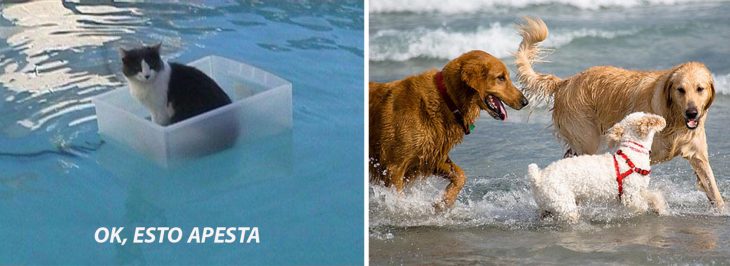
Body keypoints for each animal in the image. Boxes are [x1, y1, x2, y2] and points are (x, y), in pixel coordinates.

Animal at [366, 50, 528, 210]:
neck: (447, 99)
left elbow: (461, 175)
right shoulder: (394, 166)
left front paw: (444, 201)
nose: (525, 101)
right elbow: (398, 196)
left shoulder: (431, 154)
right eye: (501, 78)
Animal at [516, 17, 720, 210]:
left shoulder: (698, 156)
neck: (674, 119)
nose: (692, 113)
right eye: (680, 90)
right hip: (587, 139)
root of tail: (564, 82)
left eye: (700, 89)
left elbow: (714, 192)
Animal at [528, 112, 668, 222]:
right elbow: (641, 205)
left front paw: (660, 208)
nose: (663, 120)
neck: (631, 155)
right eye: (647, 115)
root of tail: (538, 178)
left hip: (548, 206)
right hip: (563, 203)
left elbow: (654, 196)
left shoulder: (639, 190)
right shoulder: (630, 195)